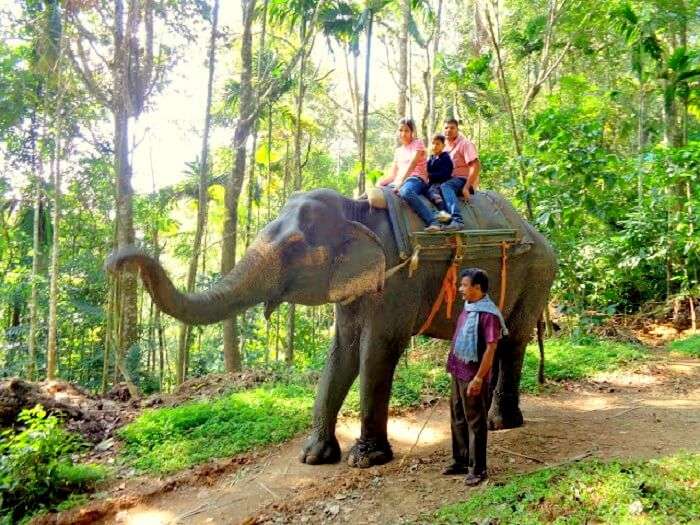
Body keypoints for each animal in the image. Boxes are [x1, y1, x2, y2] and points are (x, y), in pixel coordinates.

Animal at [108, 187, 556, 466]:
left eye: (294, 248)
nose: (116, 263)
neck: (354, 209)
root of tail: (534, 229)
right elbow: (342, 353)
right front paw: (314, 457)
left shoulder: (397, 284)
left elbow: (376, 352)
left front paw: (366, 460)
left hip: (536, 275)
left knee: (513, 341)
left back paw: (501, 423)